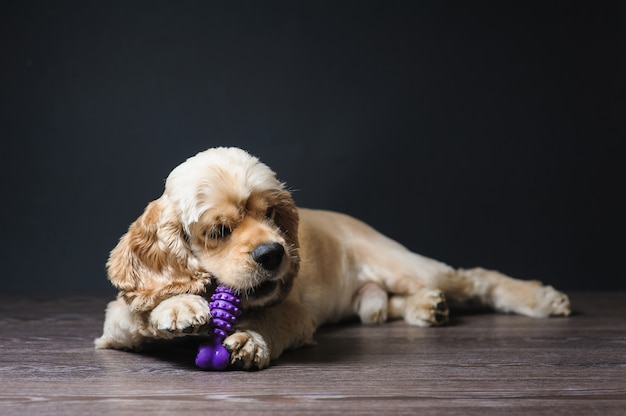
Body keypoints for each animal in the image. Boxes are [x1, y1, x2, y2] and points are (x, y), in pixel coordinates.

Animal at [94, 148, 572, 368]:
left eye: (271, 214)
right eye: (219, 231)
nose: (275, 253)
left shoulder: (295, 313)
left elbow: (271, 319)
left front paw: (249, 340)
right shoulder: (114, 325)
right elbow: (137, 311)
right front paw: (175, 306)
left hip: (403, 263)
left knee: (476, 278)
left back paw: (541, 299)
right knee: (392, 303)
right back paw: (426, 307)